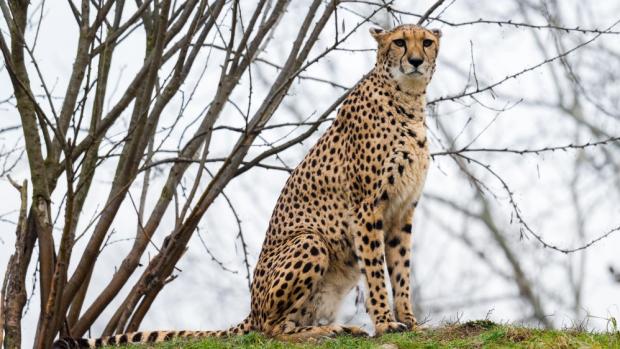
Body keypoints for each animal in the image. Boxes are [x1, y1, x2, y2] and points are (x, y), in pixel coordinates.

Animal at [54, 23, 440, 346]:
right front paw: (386, 323)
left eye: (427, 42)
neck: (408, 100)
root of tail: (251, 309)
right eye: (399, 42)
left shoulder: (402, 211)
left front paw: (409, 321)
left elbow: (401, 270)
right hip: (310, 240)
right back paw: (329, 330)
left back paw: (336, 327)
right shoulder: (367, 208)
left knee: (286, 323)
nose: (416, 61)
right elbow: (376, 271)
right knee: (270, 330)